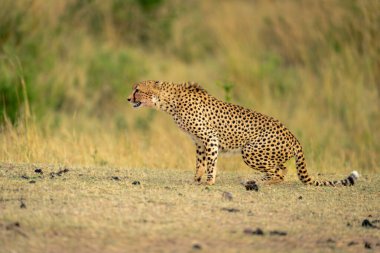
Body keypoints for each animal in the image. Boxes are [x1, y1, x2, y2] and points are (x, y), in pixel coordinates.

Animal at [127, 80, 360, 187]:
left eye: (138, 89)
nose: (128, 99)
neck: (169, 102)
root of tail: (294, 137)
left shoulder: (210, 139)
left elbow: (210, 163)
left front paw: (209, 182)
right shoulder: (199, 143)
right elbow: (200, 163)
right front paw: (197, 179)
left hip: (250, 151)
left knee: (281, 172)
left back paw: (263, 182)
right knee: (281, 168)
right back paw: (257, 179)